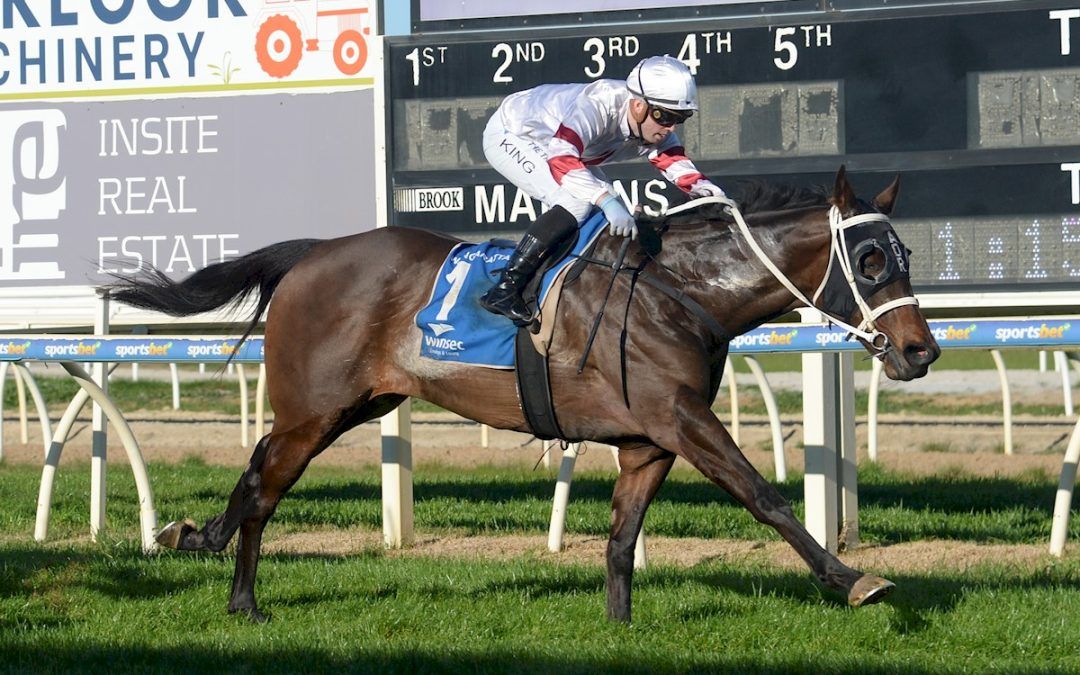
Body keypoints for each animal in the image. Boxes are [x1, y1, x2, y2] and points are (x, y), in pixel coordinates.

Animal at [109, 167, 940, 623]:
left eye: (903, 252)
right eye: (870, 259)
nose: (921, 349)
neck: (680, 288)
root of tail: (314, 252)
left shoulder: (647, 439)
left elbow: (621, 538)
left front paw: (618, 627)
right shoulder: (681, 417)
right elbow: (763, 493)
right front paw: (854, 579)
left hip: (351, 406)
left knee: (256, 470)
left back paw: (201, 543)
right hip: (313, 411)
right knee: (263, 489)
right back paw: (243, 600)